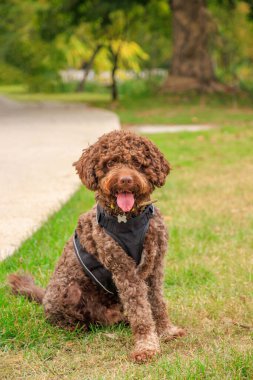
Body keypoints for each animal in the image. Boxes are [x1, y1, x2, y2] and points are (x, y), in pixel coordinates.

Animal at [8, 130, 186, 362]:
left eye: (137, 162)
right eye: (110, 163)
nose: (125, 179)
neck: (129, 220)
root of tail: (44, 295)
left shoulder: (155, 265)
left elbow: (156, 302)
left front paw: (166, 331)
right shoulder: (124, 270)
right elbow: (140, 310)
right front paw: (146, 346)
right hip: (70, 291)